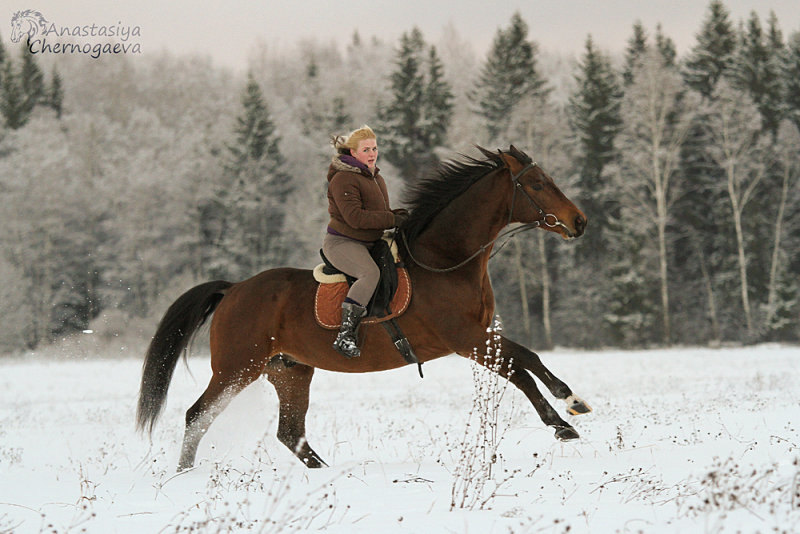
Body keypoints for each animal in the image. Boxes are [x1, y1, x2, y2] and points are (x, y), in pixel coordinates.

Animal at [136, 144, 588, 472]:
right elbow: (520, 371)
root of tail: (234, 290)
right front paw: (562, 422)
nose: (579, 222)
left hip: (290, 371)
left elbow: (528, 358)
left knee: (290, 432)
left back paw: (325, 473)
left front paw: (571, 400)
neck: (445, 260)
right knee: (197, 416)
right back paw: (185, 474)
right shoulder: (466, 340)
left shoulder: (482, 336)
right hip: (236, 368)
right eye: (539, 184)